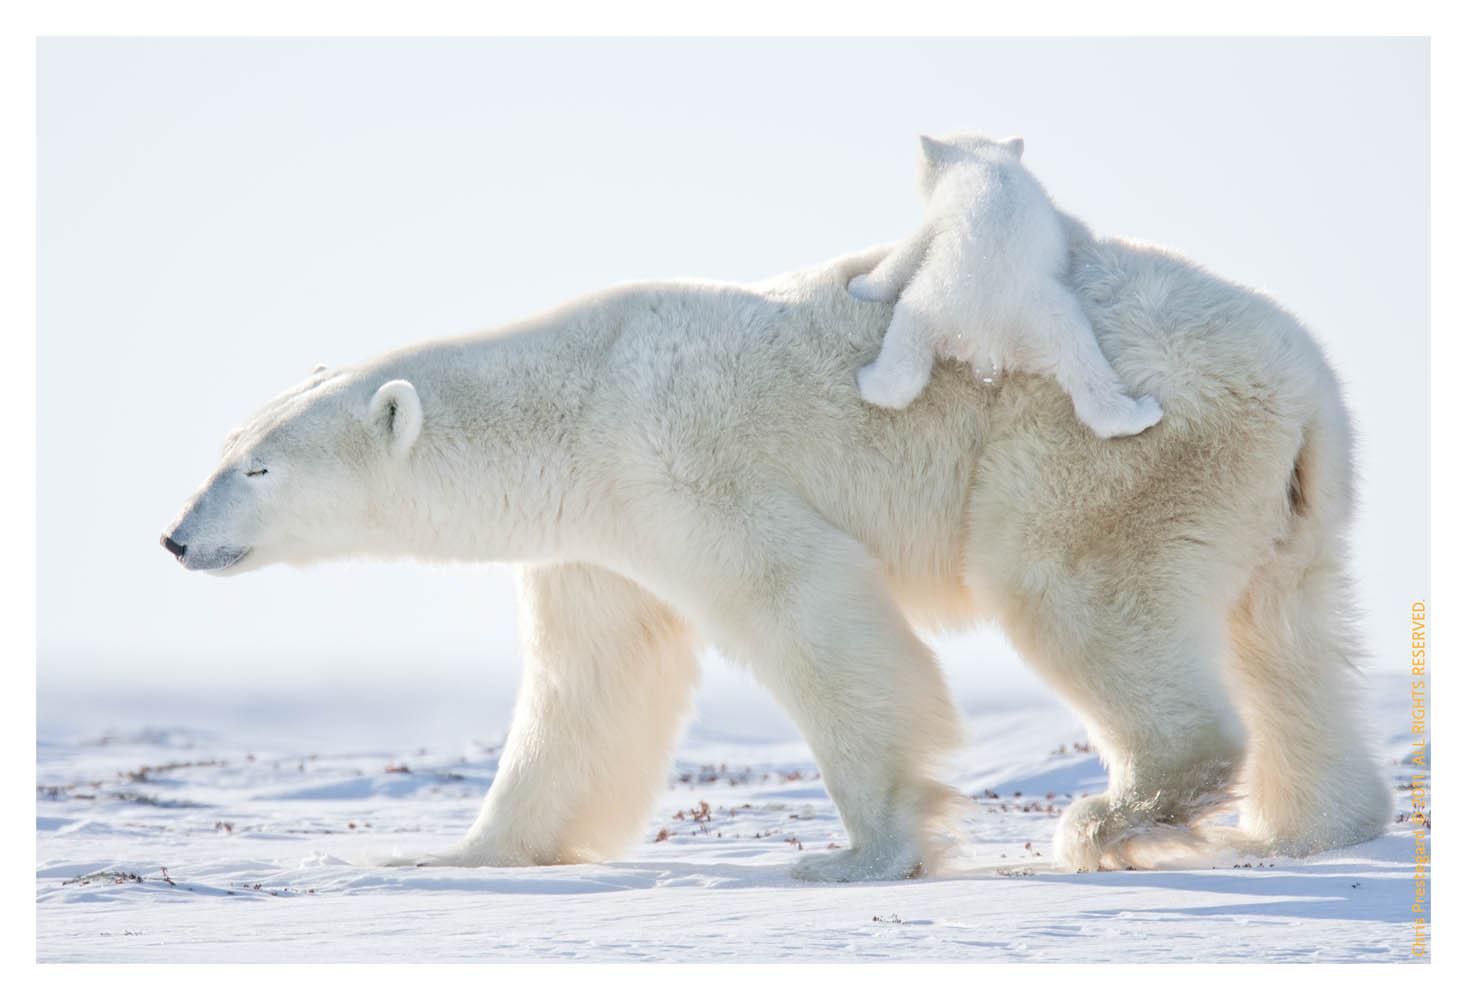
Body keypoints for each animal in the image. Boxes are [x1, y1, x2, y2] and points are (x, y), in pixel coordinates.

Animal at [161, 232, 1392, 881]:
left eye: (258, 468)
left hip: (1106, 448)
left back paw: (1110, 817)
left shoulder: (685, 466)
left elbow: (812, 615)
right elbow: (588, 683)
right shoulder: (596, 537)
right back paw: (1309, 825)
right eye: (224, 447)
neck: (575, 403)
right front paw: (465, 854)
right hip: (1281, 489)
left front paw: (859, 852)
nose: (175, 536)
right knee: (1289, 634)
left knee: (1073, 590)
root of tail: (1304, 375)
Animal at [850, 133, 1163, 439]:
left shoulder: (941, 209)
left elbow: (911, 248)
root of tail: (986, 336)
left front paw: (859, 285)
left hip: (947, 306)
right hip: (1032, 319)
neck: (985, 159)